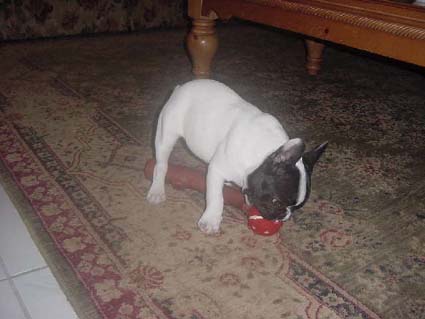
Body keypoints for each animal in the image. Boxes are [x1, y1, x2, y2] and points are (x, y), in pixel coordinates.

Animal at [147, 80, 326, 235]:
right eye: (276, 202)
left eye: (296, 207)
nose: (284, 216)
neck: (262, 153)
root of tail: (181, 88)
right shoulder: (217, 169)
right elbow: (216, 197)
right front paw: (211, 220)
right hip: (166, 133)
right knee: (161, 164)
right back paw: (157, 190)